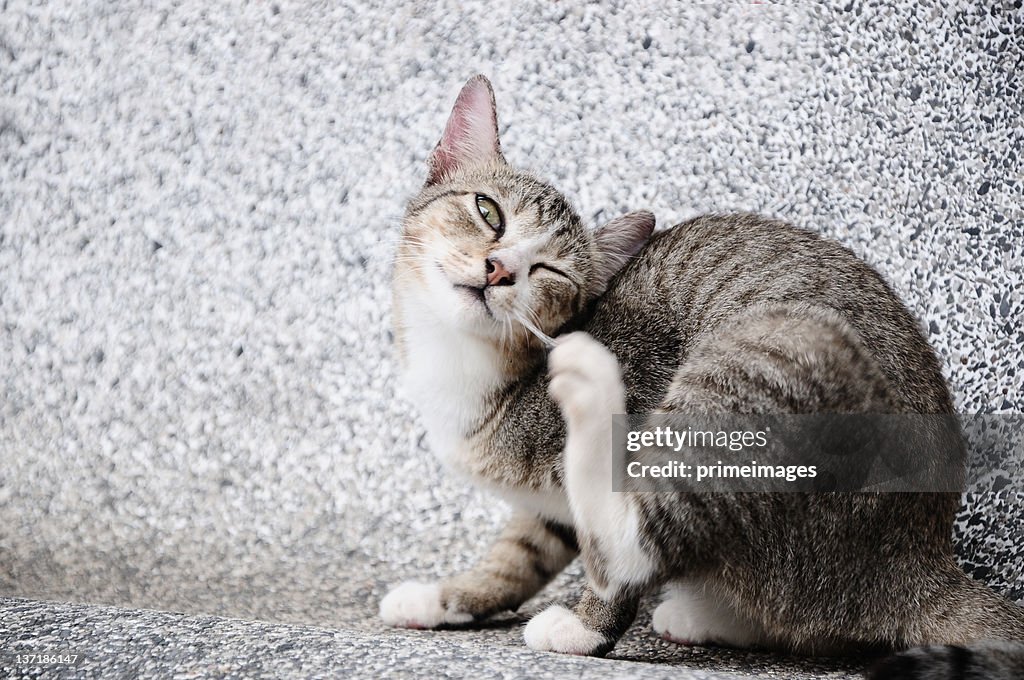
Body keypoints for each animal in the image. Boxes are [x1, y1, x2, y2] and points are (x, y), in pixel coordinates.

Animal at [378, 75, 1024, 680]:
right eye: (488, 211)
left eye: (549, 271)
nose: (499, 269)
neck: (472, 374)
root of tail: (921, 562)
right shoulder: (549, 512)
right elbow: (519, 554)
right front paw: (445, 596)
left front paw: (587, 627)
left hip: (770, 354)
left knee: (641, 535)